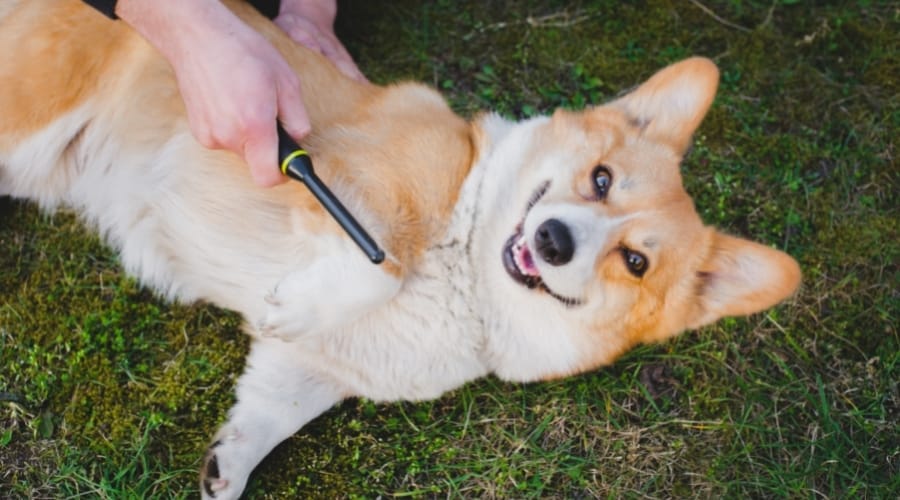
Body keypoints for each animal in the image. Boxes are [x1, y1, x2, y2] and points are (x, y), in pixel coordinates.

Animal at [0, 0, 800, 496]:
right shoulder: (343, 180)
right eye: (601, 179)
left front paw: (226, 469)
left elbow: (270, 412)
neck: (467, 277)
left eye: (635, 262)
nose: (551, 239)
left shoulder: (313, 370)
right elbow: (379, 263)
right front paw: (296, 302)